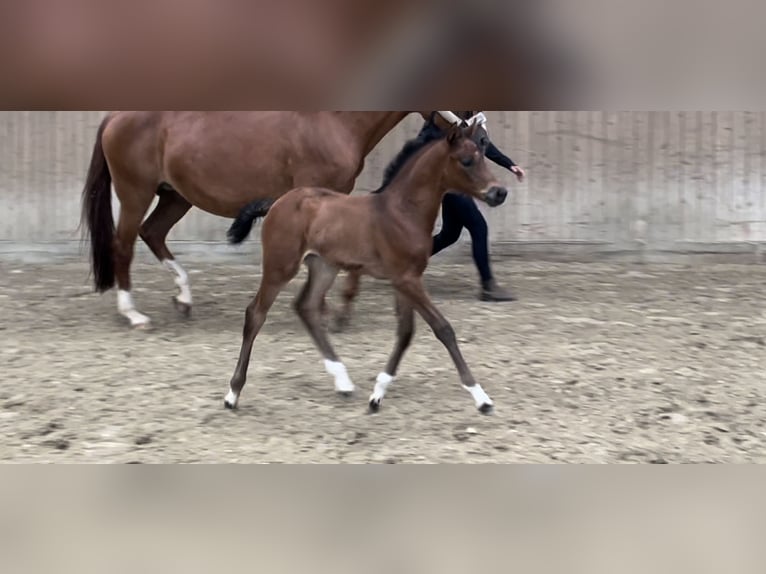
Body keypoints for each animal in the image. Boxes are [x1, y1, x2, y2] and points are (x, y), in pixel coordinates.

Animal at [224, 124, 510, 416]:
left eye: (483, 153)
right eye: (466, 160)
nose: (499, 193)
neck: (402, 212)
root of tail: (277, 202)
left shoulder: (405, 279)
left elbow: (405, 332)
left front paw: (377, 395)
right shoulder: (407, 280)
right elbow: (443, 328)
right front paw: (481, 397)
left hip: (324, 266)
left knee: (306, 306)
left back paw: (343, 382)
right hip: (280, 266)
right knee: (256, 313)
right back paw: (232, 394)